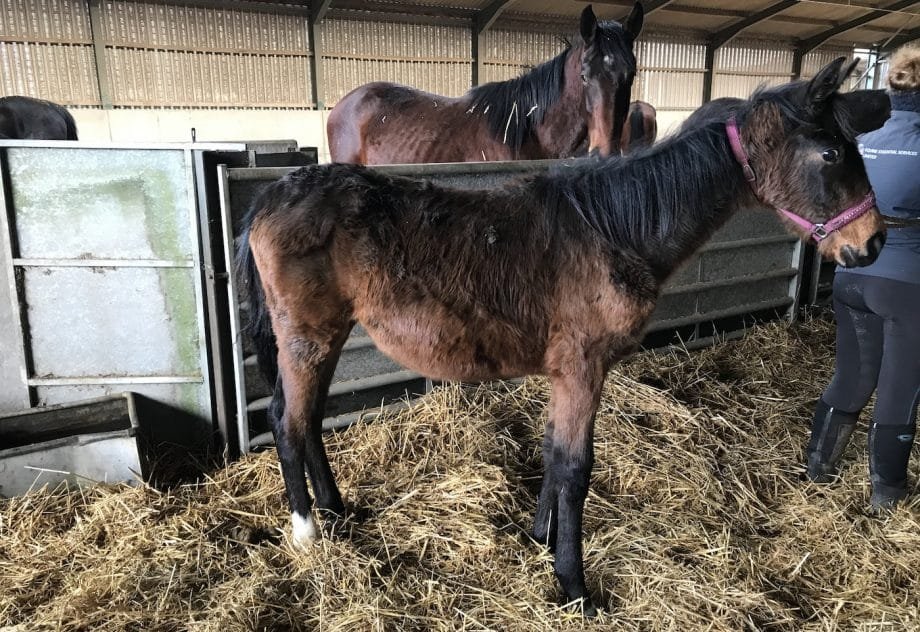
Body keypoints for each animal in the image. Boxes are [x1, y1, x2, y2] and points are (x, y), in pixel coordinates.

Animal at [237, 57, 889, 616]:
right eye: (831, 151)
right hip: (308, 336)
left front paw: (538, 539)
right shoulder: (583, 366)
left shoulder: (562, 373)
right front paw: (574, 587)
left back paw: (337, 511)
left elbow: (552, 455)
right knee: (289, 423)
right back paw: (307, 533)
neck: (615, 227)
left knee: (309, 418)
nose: (873, 243)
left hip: (326, 336)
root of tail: (269, 195)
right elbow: (575, 469)